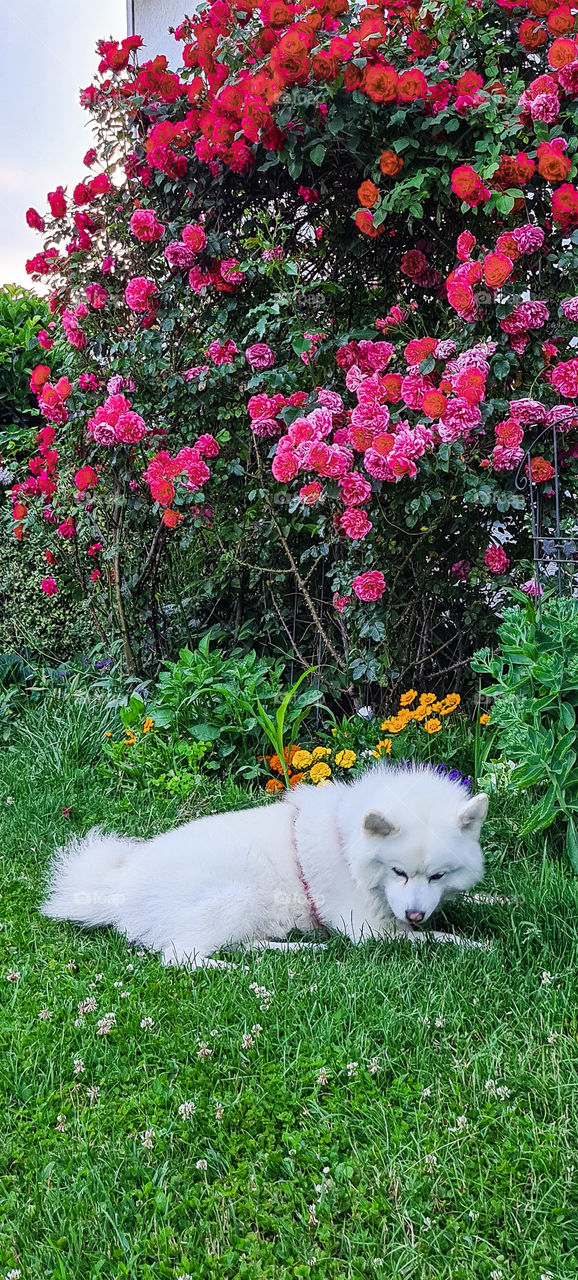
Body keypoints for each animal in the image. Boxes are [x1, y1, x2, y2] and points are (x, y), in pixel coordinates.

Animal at [41, 762, 488, 962]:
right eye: (398, 872)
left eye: (438, 875)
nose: (415, 915)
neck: (346, 843)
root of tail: (118, 888)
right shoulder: (368, 930)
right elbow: (437, 939)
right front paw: (477, 943)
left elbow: (474, 902)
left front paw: (494, 904)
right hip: (235, 898)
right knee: (182, 957)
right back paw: (238, 969)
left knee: (239, 943)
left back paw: (293, 949)